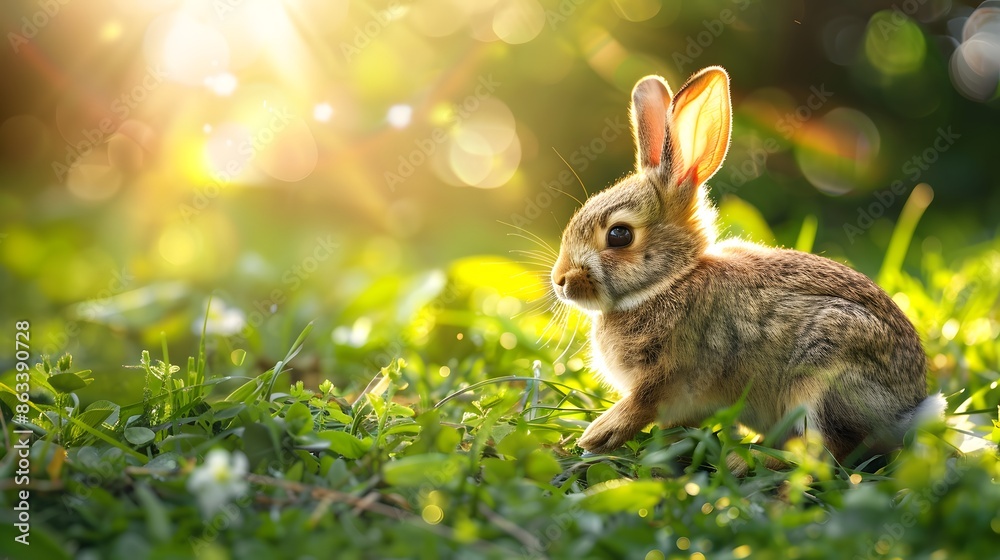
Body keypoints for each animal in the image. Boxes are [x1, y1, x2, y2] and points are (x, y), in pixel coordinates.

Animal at [550, 66, 946, 467]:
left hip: (821, 375)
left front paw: (597, 435)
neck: (670, 281)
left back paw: (745, 462)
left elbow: (641, 405)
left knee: (823, 451)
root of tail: (905, 413)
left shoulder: (669, 376)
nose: (560, 280)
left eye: (619, 235)